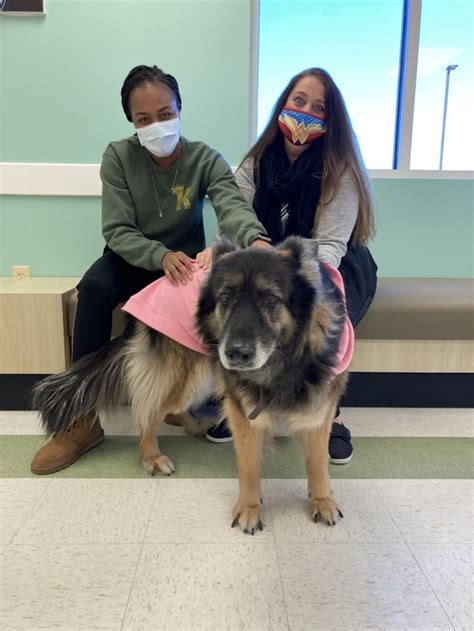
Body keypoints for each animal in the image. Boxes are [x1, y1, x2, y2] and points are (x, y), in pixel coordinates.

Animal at [35, 237, 350, 532]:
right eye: (225, 297)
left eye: (271, 299)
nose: (236, 354)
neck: (286, 356)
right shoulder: (242, 408)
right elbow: (249, 465)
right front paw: (249, 508)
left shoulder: (320, 405)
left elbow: (317, 461)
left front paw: (322, 499)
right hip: (190, 376)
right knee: (149, 411)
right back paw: (152, 456)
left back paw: (194, 426)